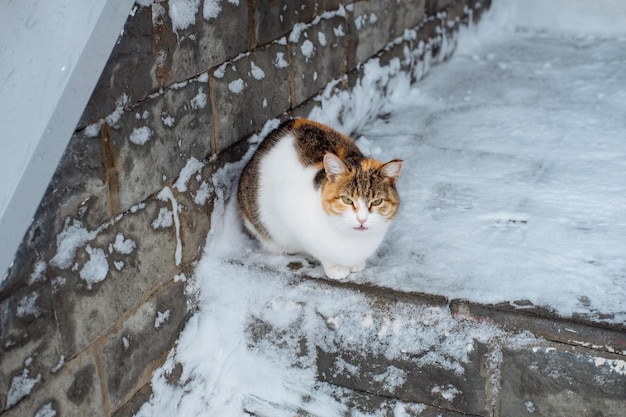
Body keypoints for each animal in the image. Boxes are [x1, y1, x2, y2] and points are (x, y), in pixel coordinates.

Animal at [236, 118, 402, 278]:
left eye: (377, 201)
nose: (362, 219)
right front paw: (335, 267)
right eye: (347, 200)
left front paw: (357, 263)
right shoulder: (288, 211)